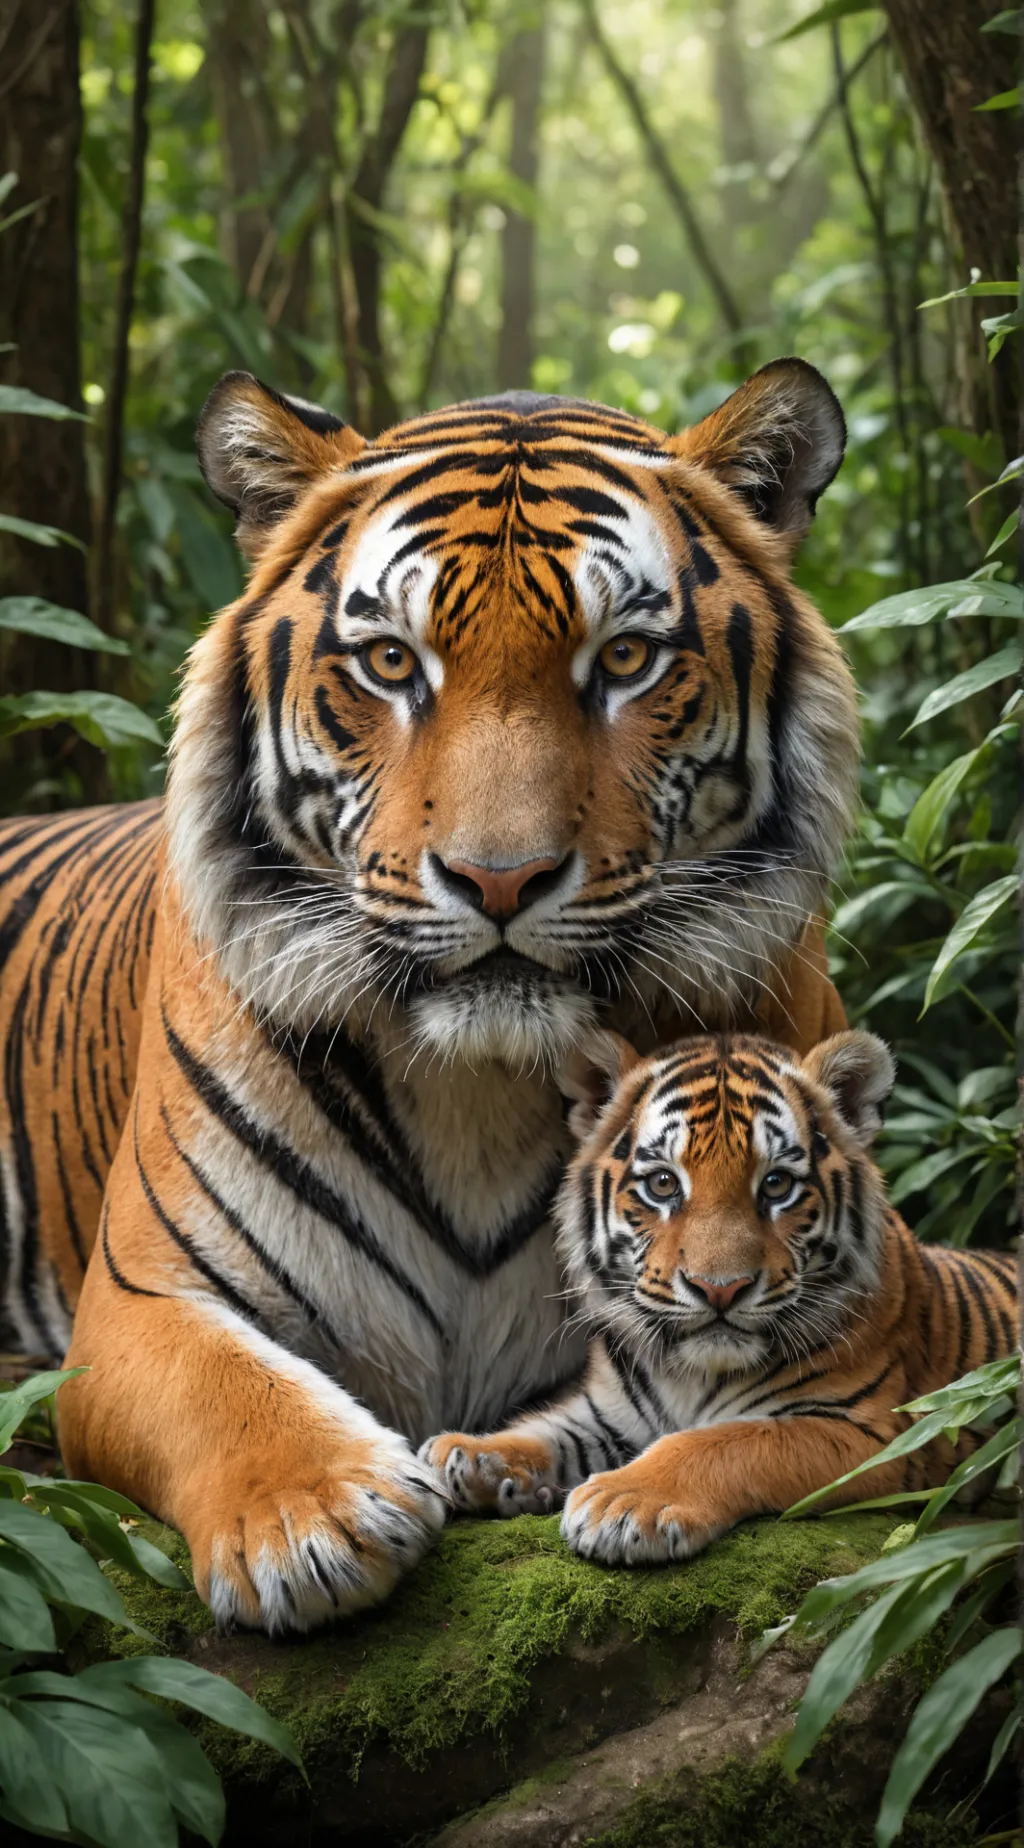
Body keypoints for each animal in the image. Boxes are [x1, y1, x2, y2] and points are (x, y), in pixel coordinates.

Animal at [0, 360, 860, 1633]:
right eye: (393, 663)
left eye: (624, 661)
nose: (499, 878)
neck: (484, 1090)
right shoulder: (139, 1297)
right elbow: (224, 1386)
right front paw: (314, 1521)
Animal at [424, 1029, 1018, 1561]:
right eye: (663, 1184)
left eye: (777, 1185)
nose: (720, 1289)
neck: (690, 1373)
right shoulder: (607, 1412)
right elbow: (547, 1429)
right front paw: (468, 1452)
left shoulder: (875, 1435)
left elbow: (726, 1442)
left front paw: (623, 1502)